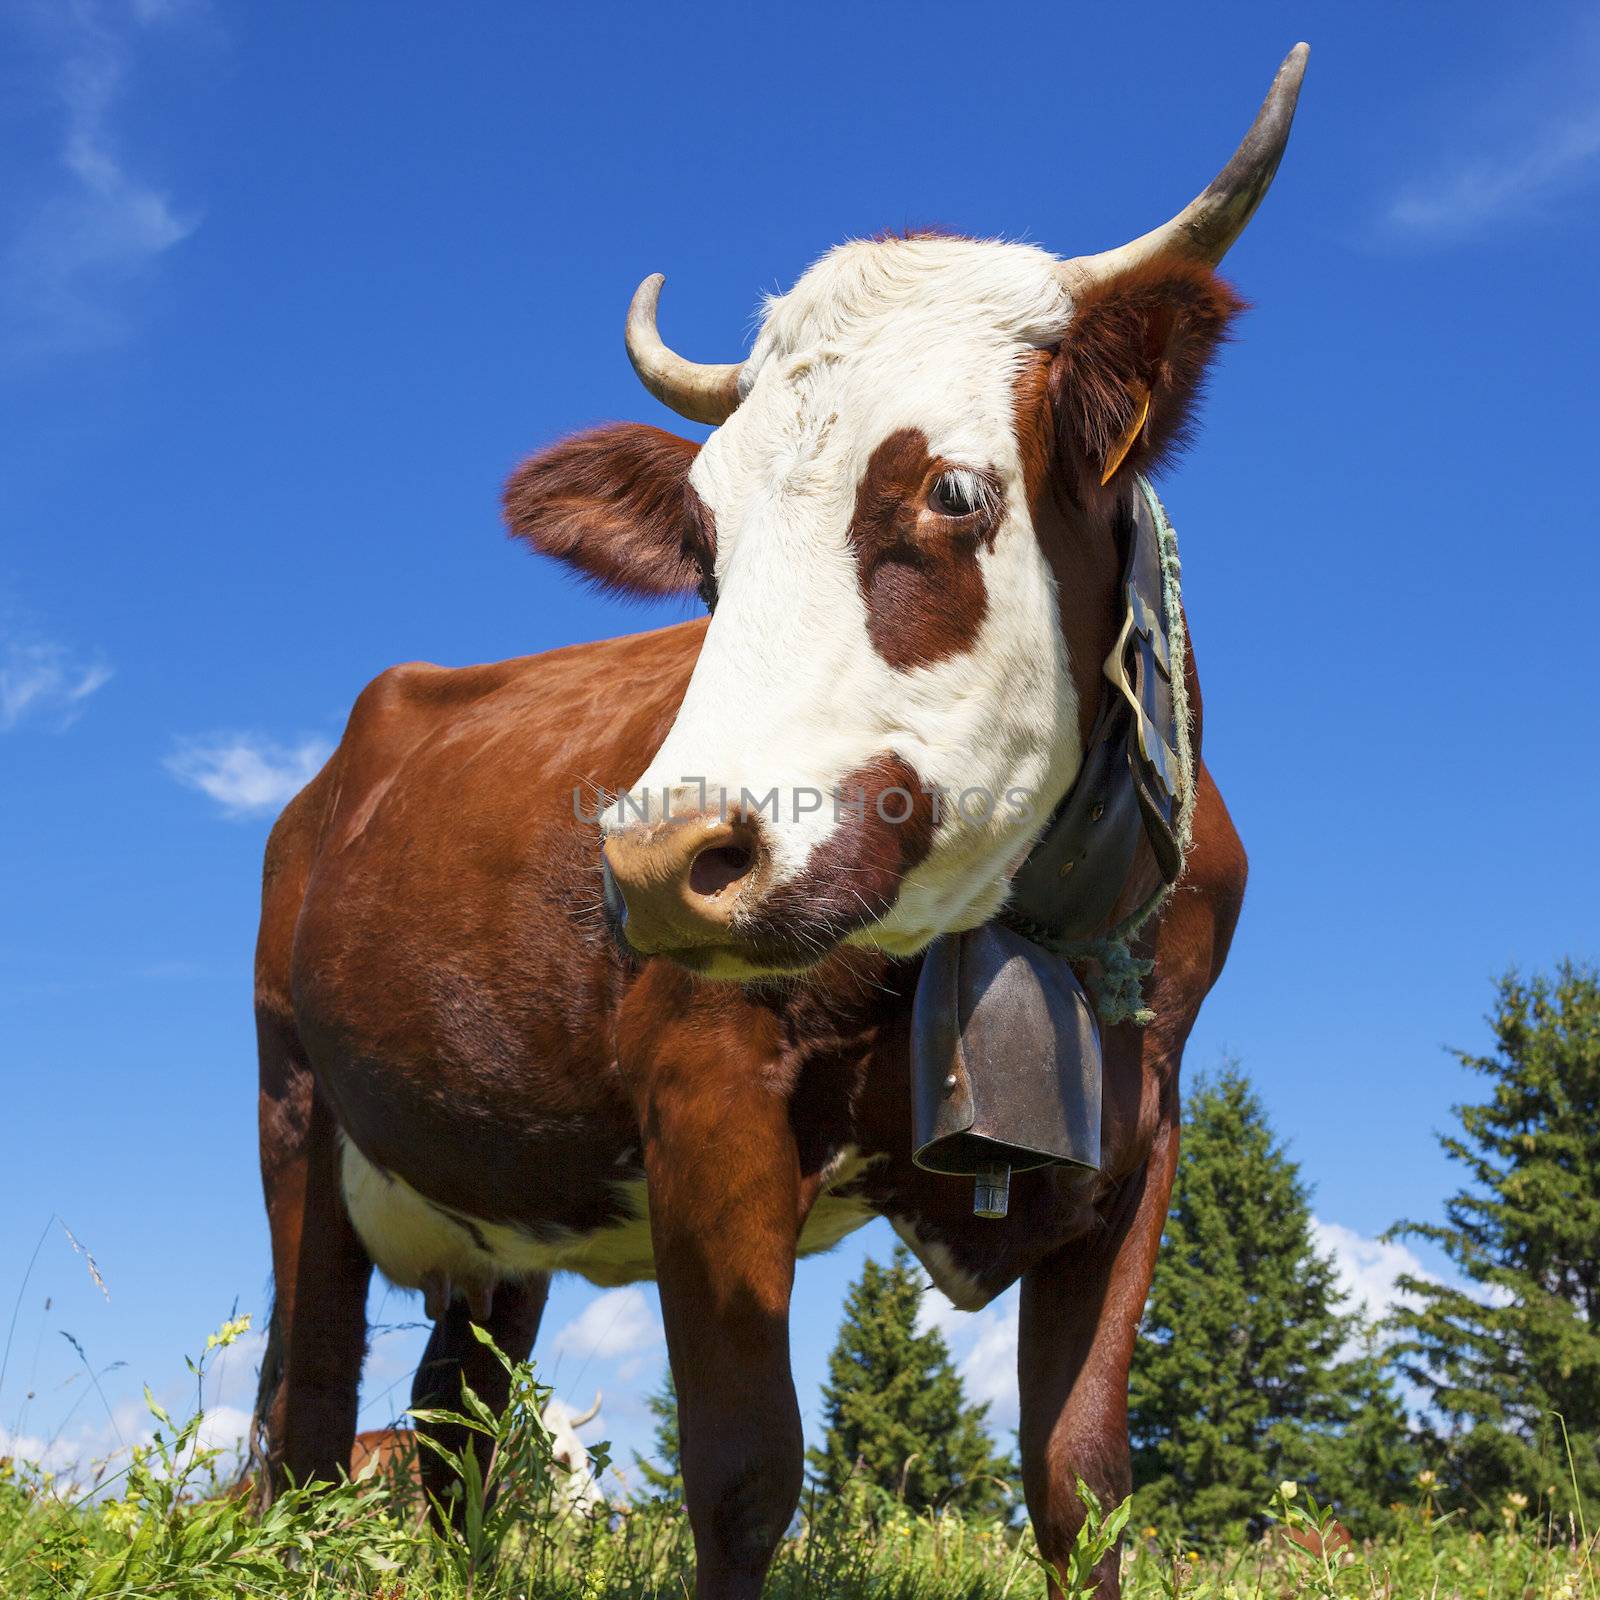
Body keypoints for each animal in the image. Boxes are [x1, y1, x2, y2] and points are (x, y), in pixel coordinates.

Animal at [243, 43, 1305, 1593]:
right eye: (702, 548)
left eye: (951, 491)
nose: (656, 861)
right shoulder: (711, 1105)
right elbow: (746, 1475)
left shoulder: (1138, 1128)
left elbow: (1081, 1478)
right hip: (298, 1108)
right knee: (306, 1406)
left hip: (498, 1213)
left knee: (454, 1421)